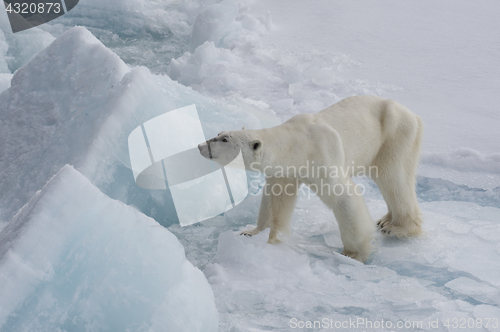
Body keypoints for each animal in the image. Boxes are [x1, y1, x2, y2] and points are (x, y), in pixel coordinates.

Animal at [197, 94, 424, 264]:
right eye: (219, 133)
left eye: (224, 139)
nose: (200, 145)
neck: (297, 144)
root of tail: (413, 114)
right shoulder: (286, 170)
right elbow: (275, 200)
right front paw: (253, 234)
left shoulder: (322, 156)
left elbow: (345, 198)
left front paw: (353, 254)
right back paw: (384, 220)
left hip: (395, 135)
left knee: (394, 177)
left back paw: (397, 227)